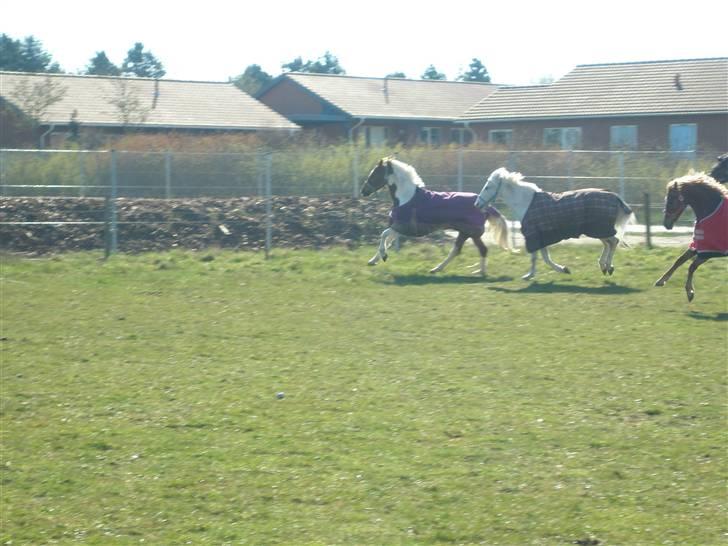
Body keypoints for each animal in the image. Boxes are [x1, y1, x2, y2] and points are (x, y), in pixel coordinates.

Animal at [360, 157, 510, 276]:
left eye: (375, 174)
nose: (364, 191)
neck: (406, 197)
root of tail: (484, 205)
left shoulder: (403, 227)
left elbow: (384, 235)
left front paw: (383, 256)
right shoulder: (398, 227)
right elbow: (387, 239)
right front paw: (373, 260)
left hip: (470, 233)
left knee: (477, 250)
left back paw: (479, 272)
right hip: (465, 233)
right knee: (460, 250)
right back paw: (439, 269)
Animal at [474, 167, 636, 278]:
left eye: (488, 186)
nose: (477, 204)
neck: (526, 203)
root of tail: (614, 196)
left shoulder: (534, 236)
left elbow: (537, 257)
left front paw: (529, 275)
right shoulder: (540, 237)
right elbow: (545, 258)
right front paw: (563, 269)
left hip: (599, 229)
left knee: (614, 242)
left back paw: (607, 267)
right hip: (598, 230)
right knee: (608, 244)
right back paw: (604, 266)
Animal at [656, 172, 728, 300]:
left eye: (671, 201)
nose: (666, 224)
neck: (711, 211)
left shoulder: (708, 251)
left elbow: (691, 266)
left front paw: (690, 292)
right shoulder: (698, 245)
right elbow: (679, 260)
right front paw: (661, 280)